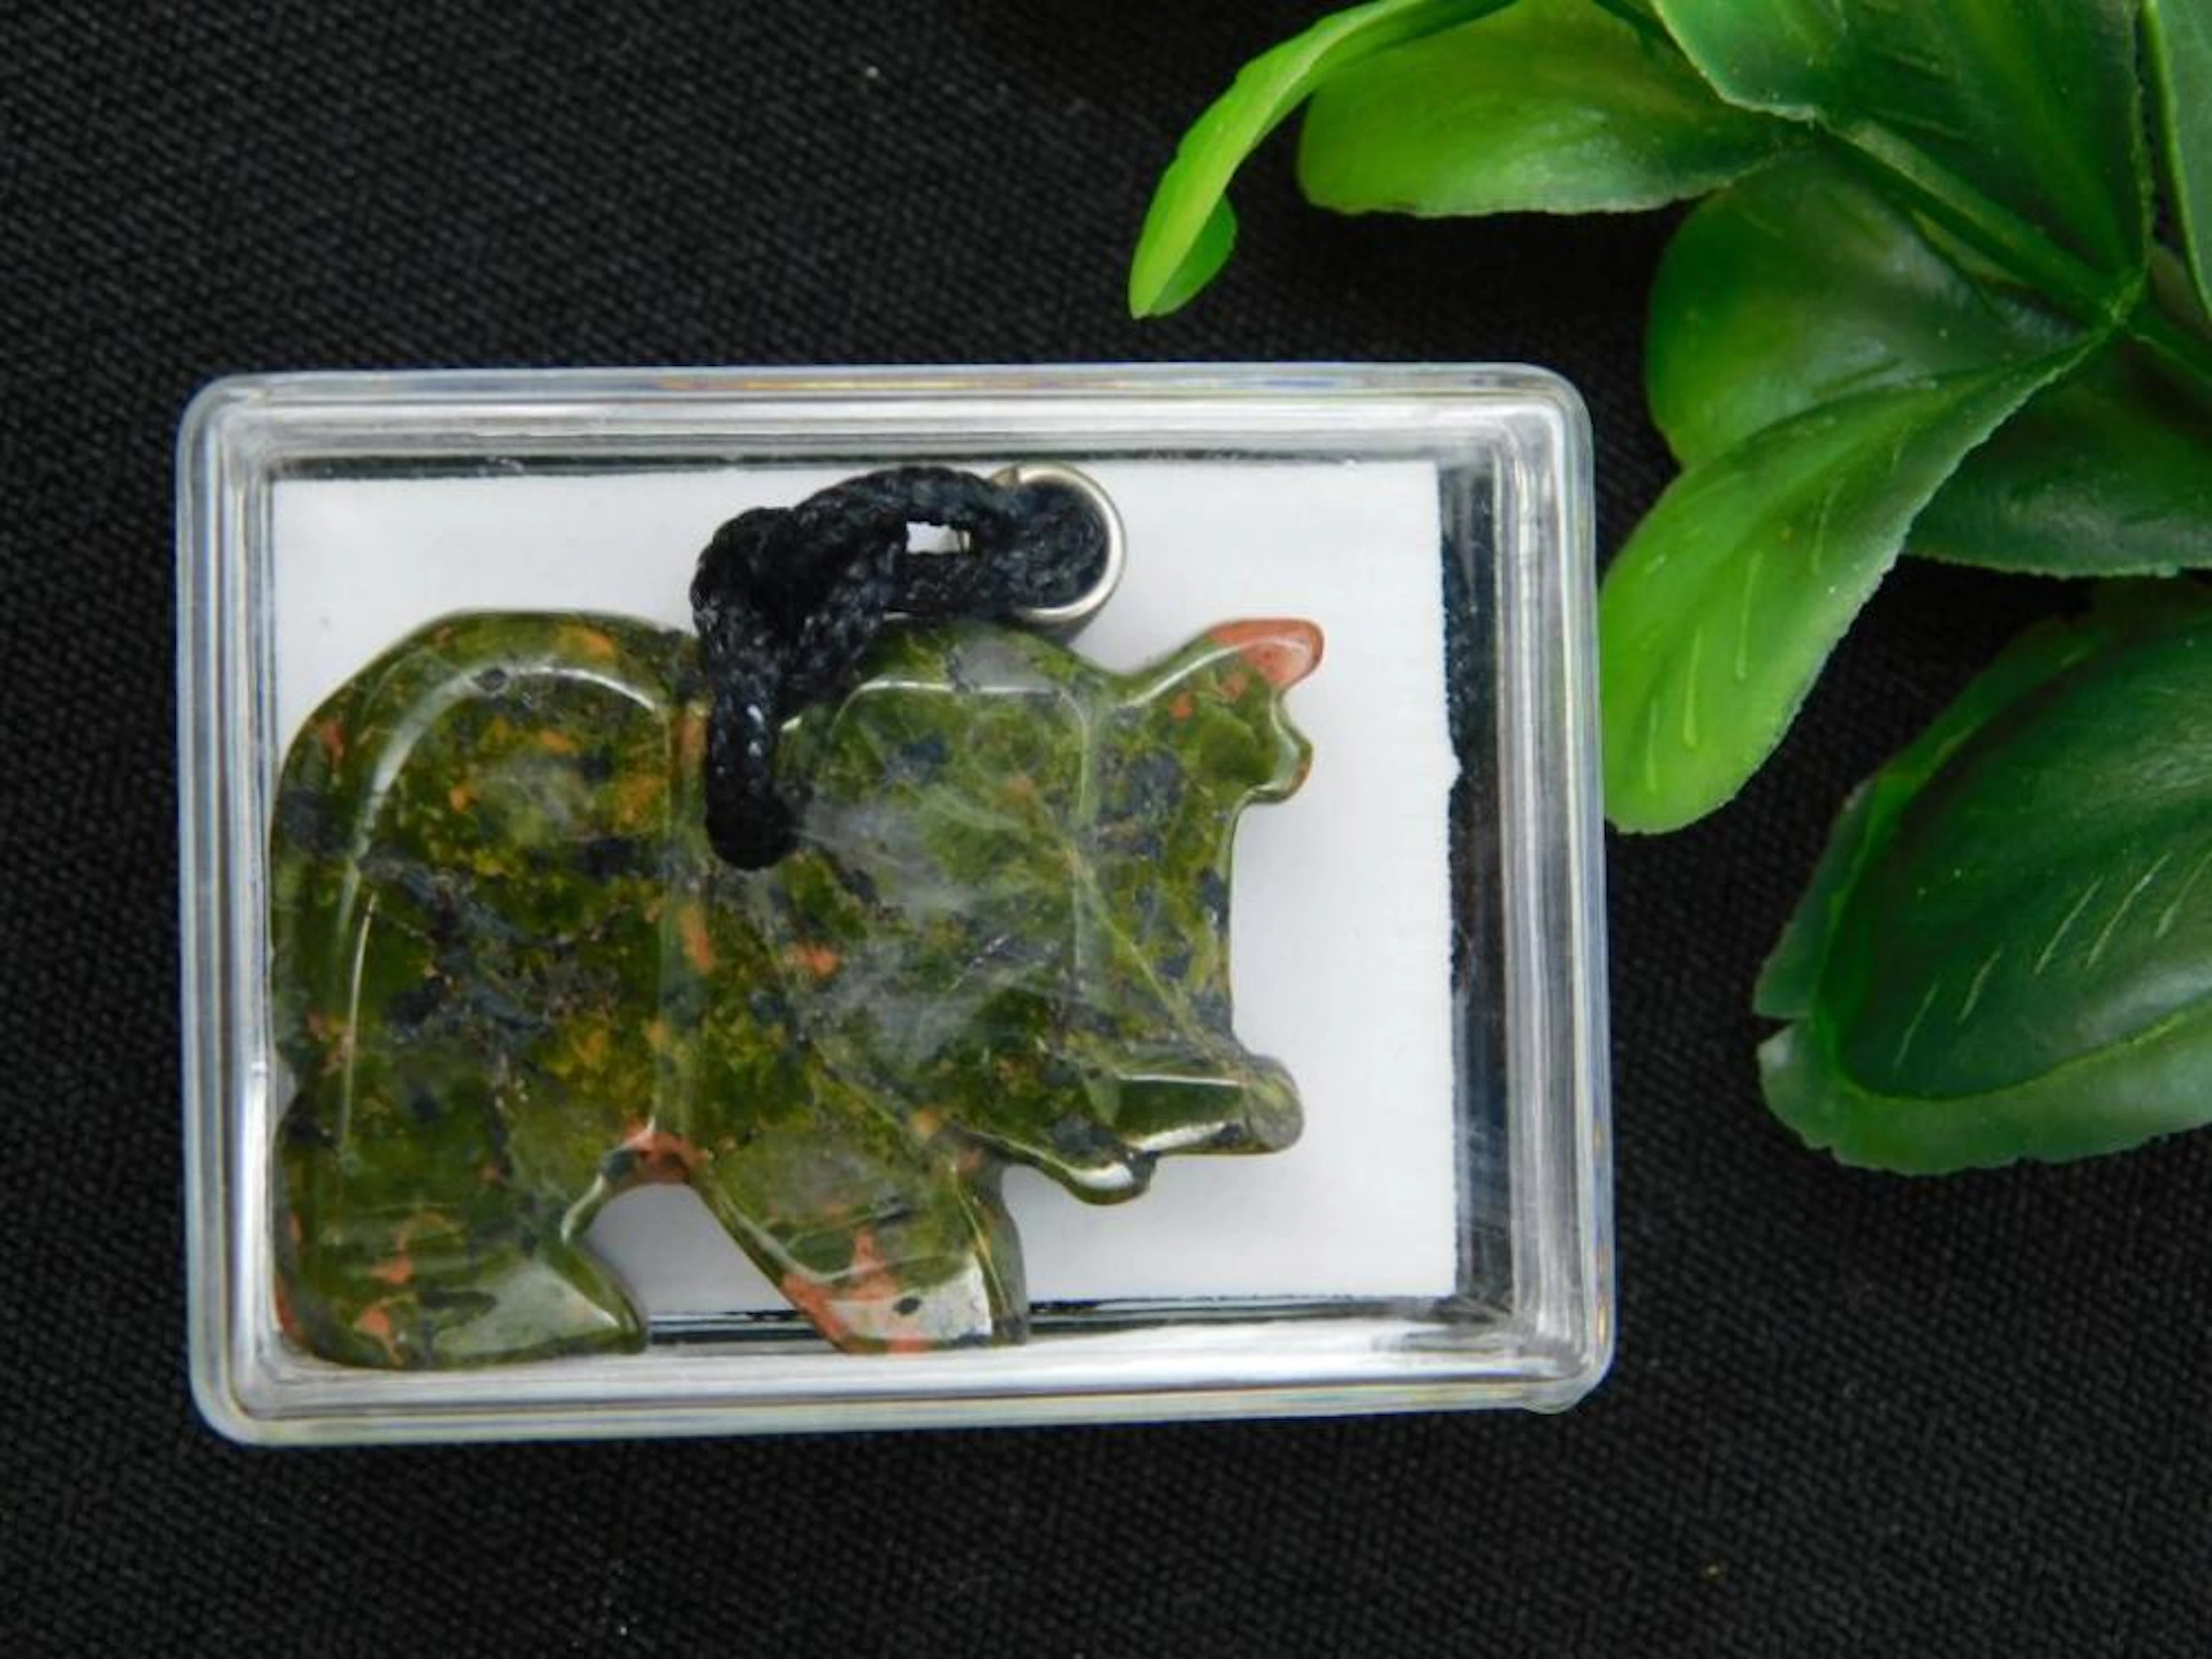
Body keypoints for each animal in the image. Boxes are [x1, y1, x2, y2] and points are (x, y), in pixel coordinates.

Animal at [270, 610, 1320, 1365]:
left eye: (1192, 929)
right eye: (1001, 945)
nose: (1265, 1108)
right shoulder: (755, 1020)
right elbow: (820, 1171)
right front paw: (958, 1320)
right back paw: (546, 1325)